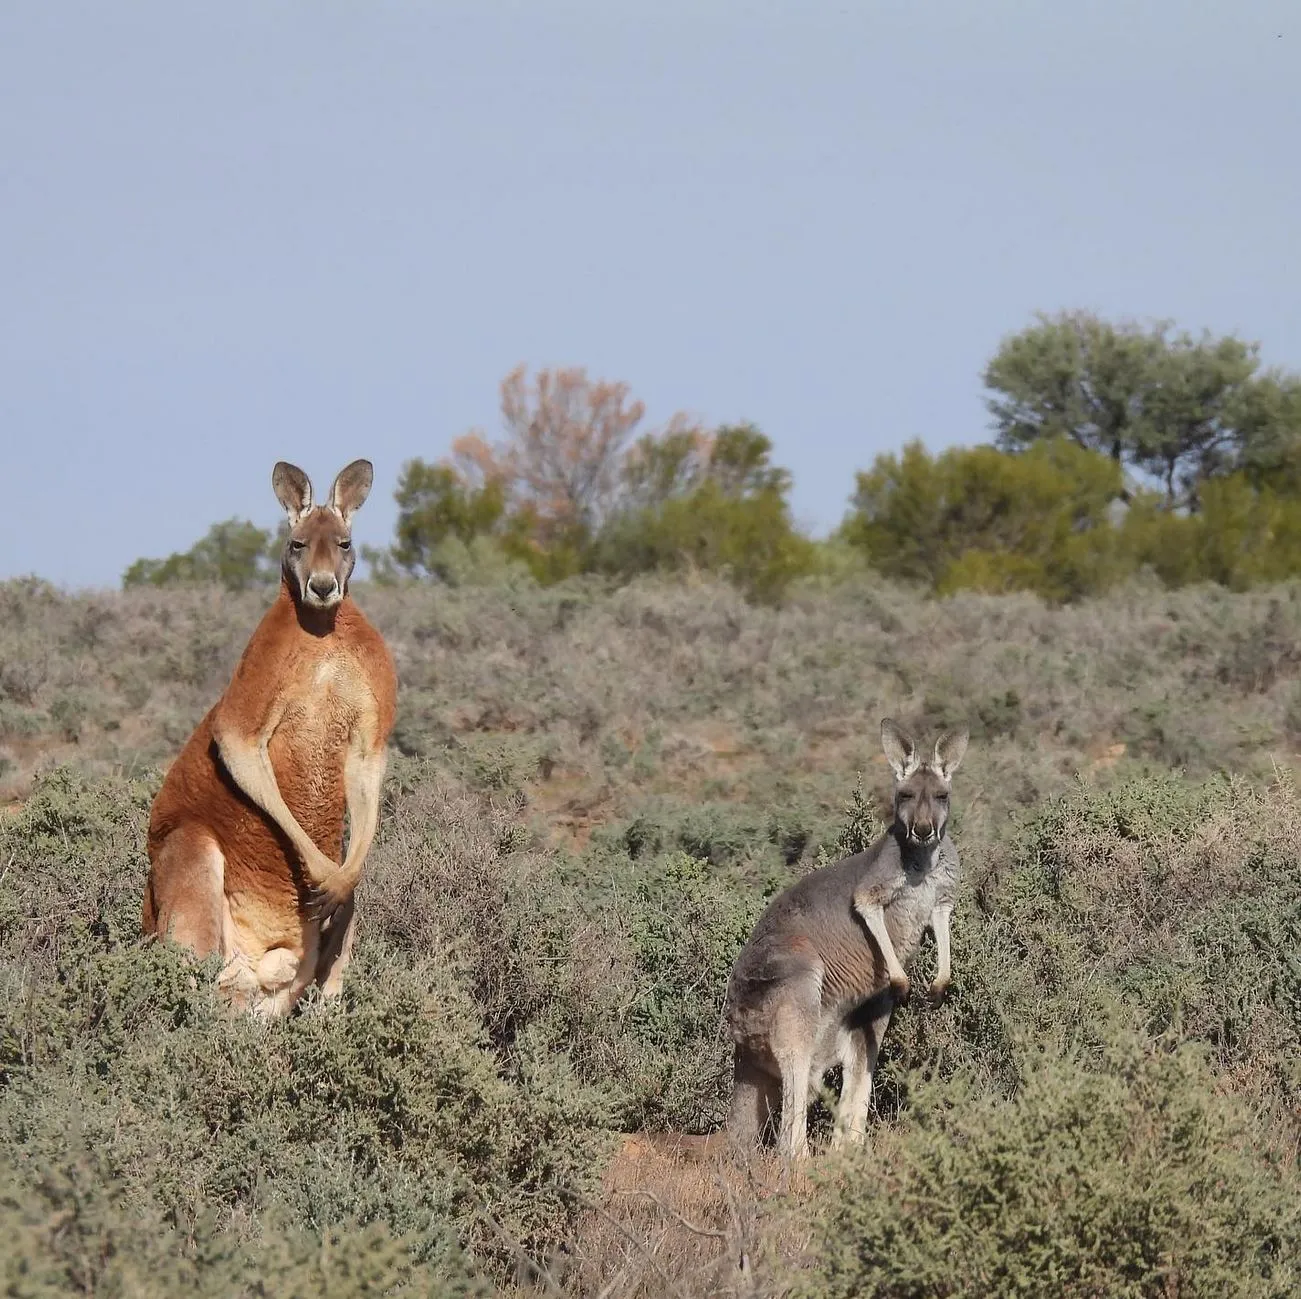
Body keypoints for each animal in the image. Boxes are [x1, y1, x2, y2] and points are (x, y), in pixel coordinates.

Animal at [142, 459, 398, 1019]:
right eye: (297, 544)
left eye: (345, 543)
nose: (322, 587)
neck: (322, 631)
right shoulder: (250, 695)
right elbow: (237, 746)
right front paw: (322, 871)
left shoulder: (371, 720)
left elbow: (368, 767)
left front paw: (335, 878)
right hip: (189, 862)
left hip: (306, 970)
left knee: (329, 968)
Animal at [723, 718, 968, 1158]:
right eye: (904, 795)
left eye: (942, 796)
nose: (924, 831)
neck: (922, 861)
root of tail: (742, 1052)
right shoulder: (874, 886)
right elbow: (867, 909)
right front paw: (905, 980)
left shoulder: (943, 895)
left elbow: (942, 926)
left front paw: (939, 985)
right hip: (792, 987)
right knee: (794, 1092)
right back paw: (802, 1160)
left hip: (865, 1015)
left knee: (854, 1072)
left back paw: (848, 1151)